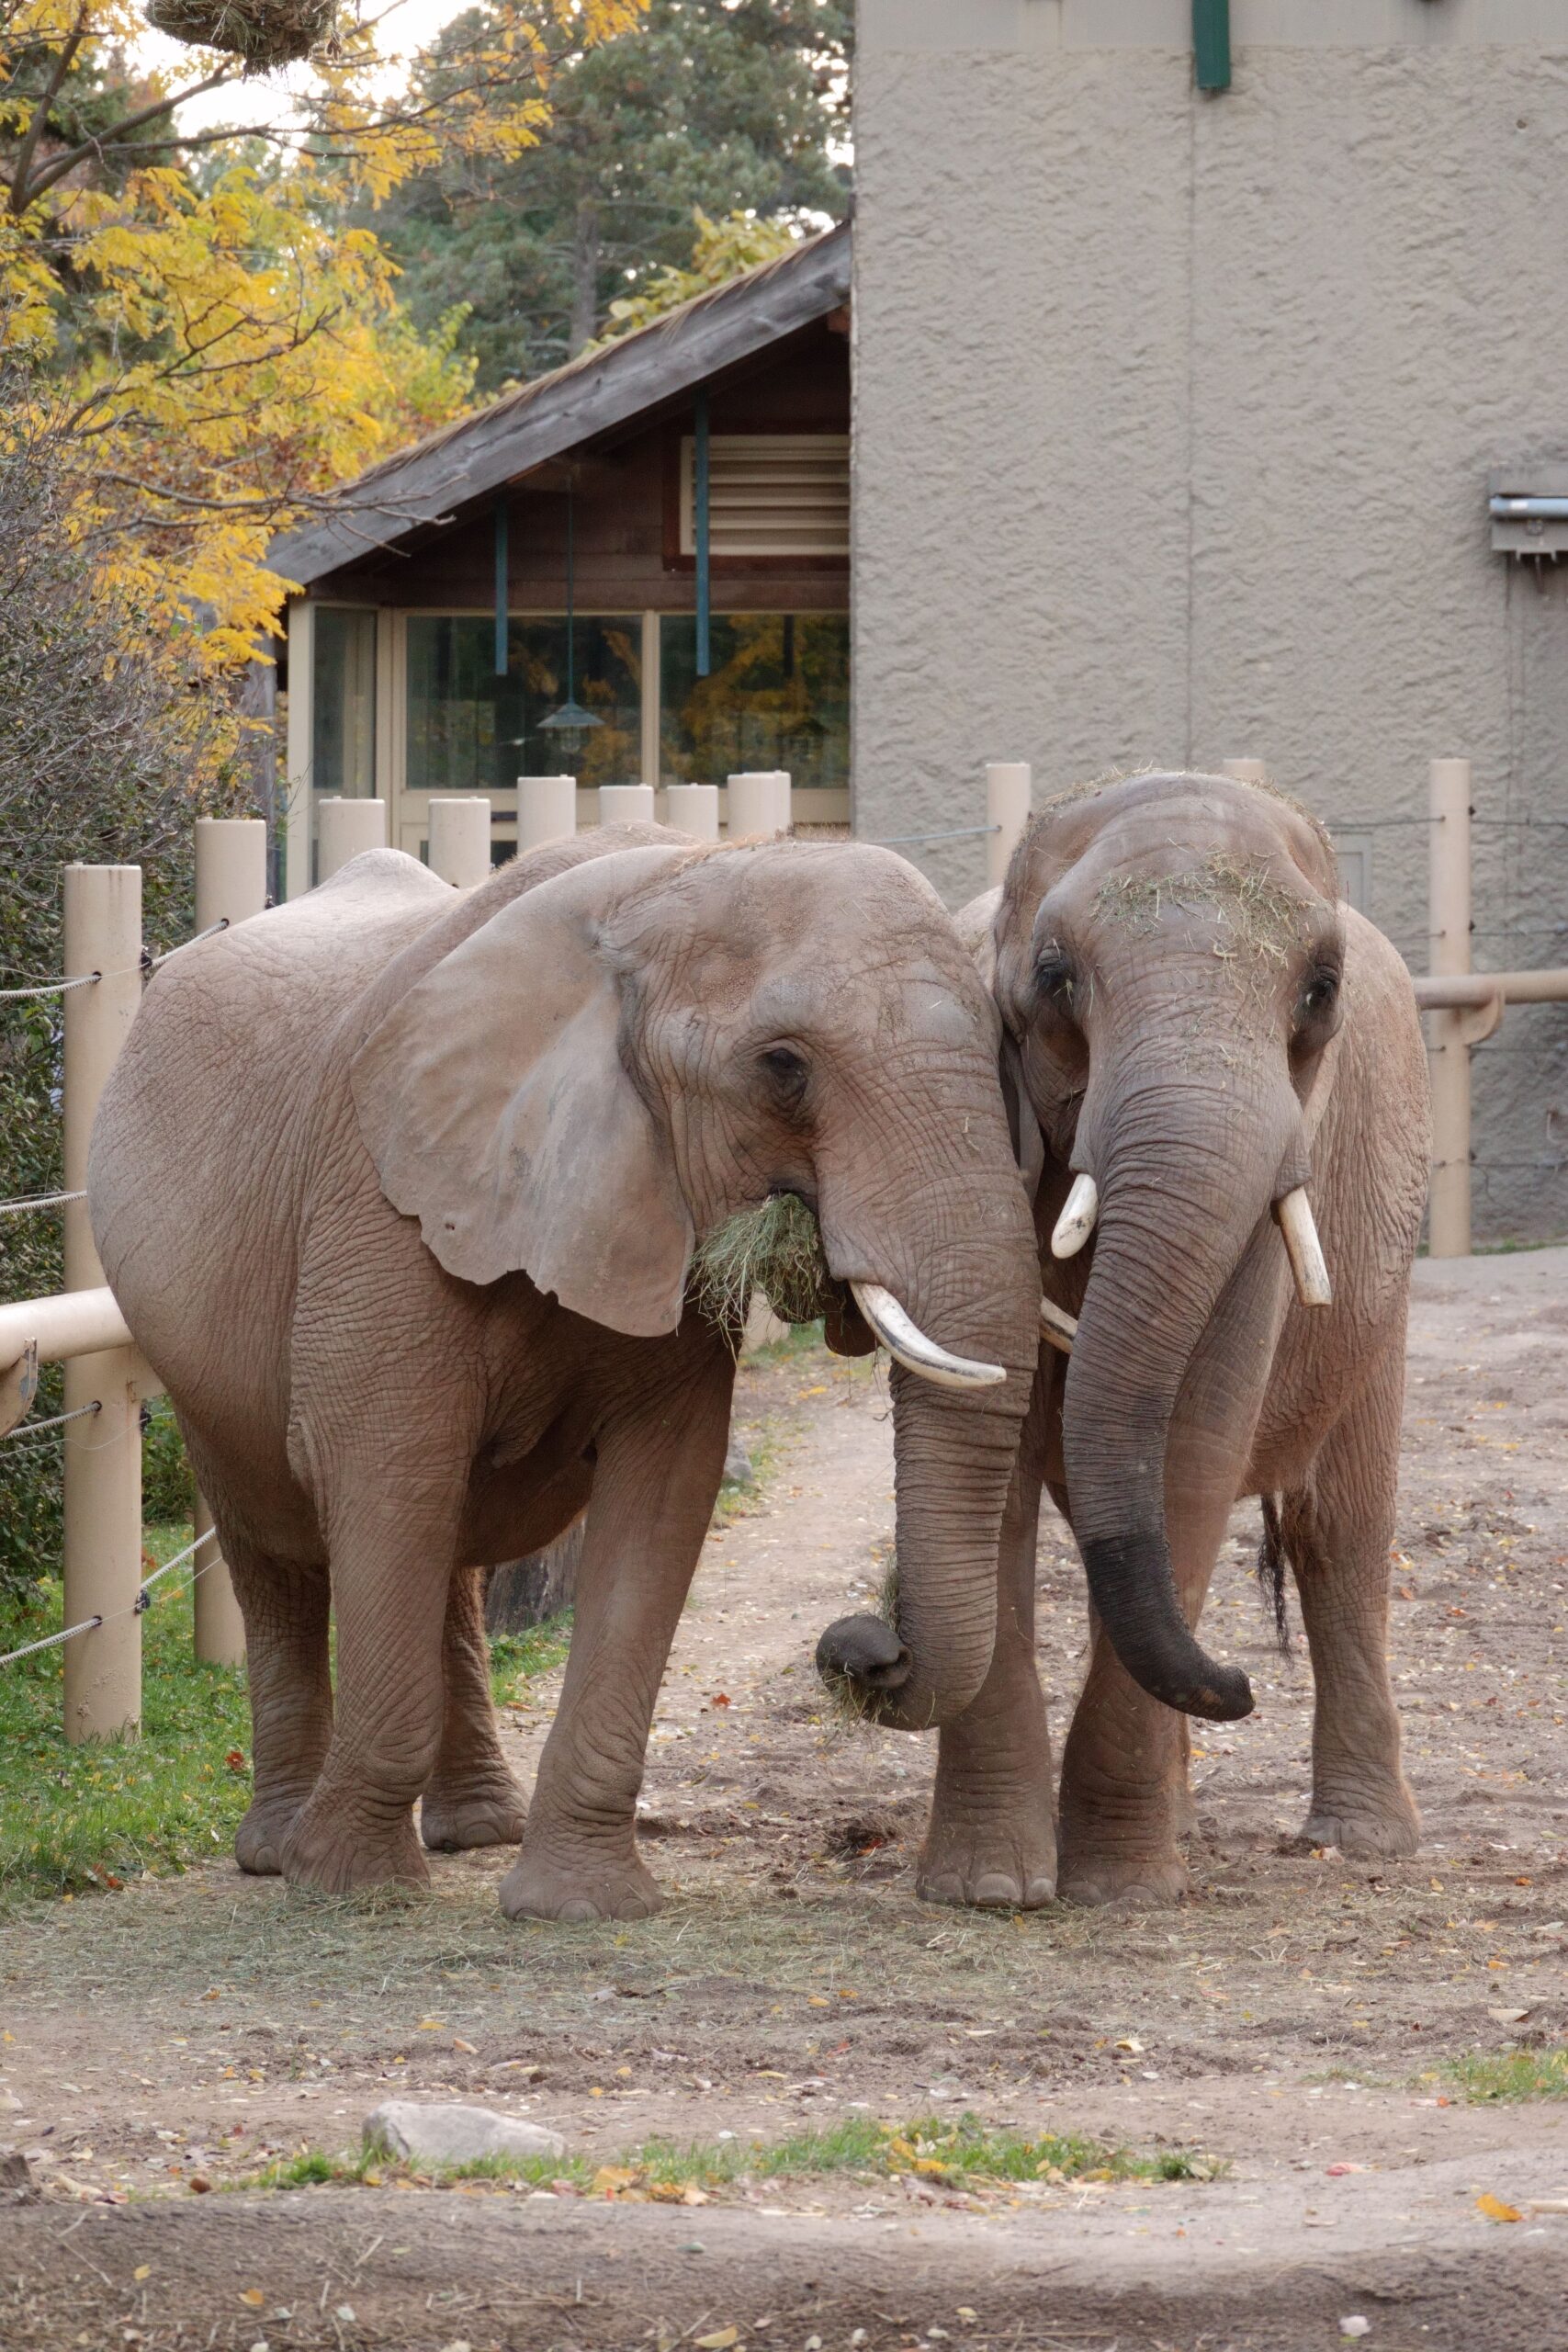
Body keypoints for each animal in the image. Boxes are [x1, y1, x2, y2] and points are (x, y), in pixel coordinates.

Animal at [921, 771, 1438, 1909]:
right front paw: (989, 1890)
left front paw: (1120, 1889)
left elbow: (1196, 1442)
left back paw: (1361, 1841)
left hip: (1381, 1301)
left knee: (1341, 1532)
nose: (1238, 1686)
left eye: (1321, 988)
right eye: (1056, 978)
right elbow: (997, 1462)